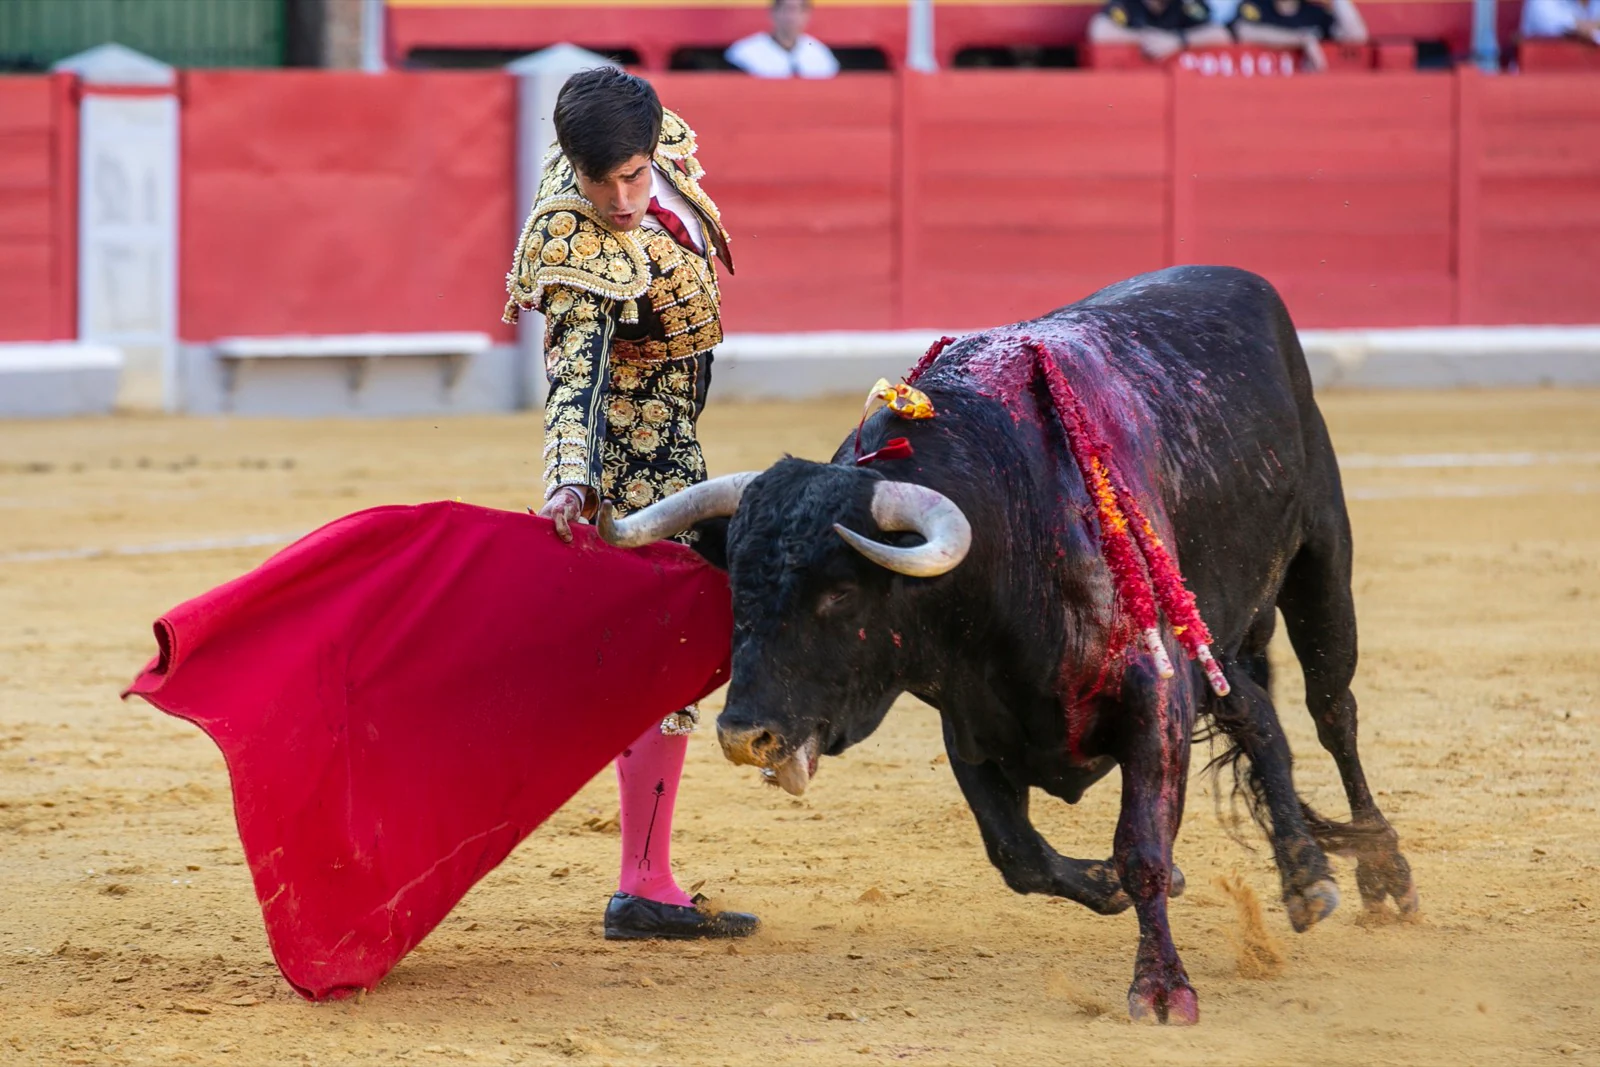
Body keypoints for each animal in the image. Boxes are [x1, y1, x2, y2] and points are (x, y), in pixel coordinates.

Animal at [598, 267, 1414, 1023]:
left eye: (839, 592)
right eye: (738, 583)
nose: (745, 735)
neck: (1008, 535)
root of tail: (1237, 280)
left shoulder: (1155, 695)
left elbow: (1144, 847)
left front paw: (1162, 988)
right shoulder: (974, 725)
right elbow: (1019, 855)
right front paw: (1107, 886)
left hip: (1320, 565)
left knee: (1332, 713)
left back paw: (1383, 874)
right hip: (1212, 626)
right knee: (1259, 717)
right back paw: (1307, 877)